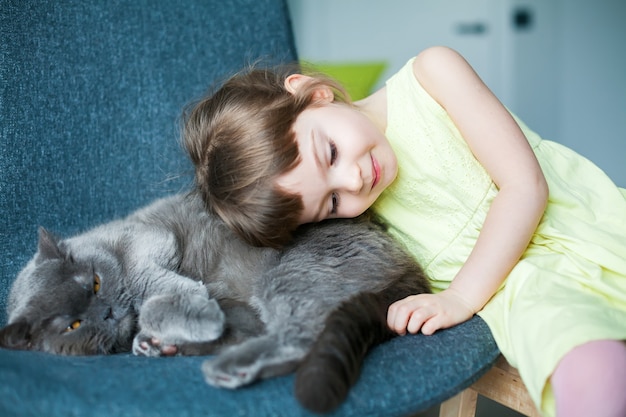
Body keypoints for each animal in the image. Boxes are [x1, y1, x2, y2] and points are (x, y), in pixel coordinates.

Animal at [0, 193, 428, 412]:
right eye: (73, 326)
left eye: (95, 283)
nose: (106, 312)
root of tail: (409, 268)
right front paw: (153, 339)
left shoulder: (146, 239)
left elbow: (147, 284)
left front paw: (192, 313)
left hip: (291, 275)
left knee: (301, 336)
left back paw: (223, 364)